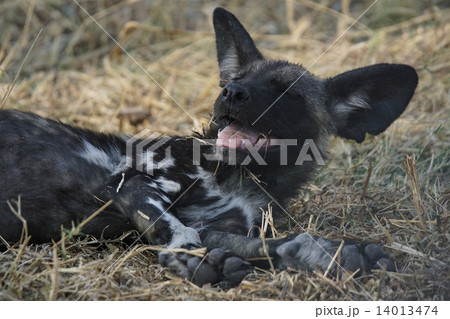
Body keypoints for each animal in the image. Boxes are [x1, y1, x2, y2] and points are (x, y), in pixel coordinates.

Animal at [0, 8, 418, 288]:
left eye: (288, 93)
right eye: (238, 78)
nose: (231, 92)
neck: (241, 178)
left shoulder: (222, 228)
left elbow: (278, 244)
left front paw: (334, 253)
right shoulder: (130, 183)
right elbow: (177, 232)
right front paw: (195, 263)